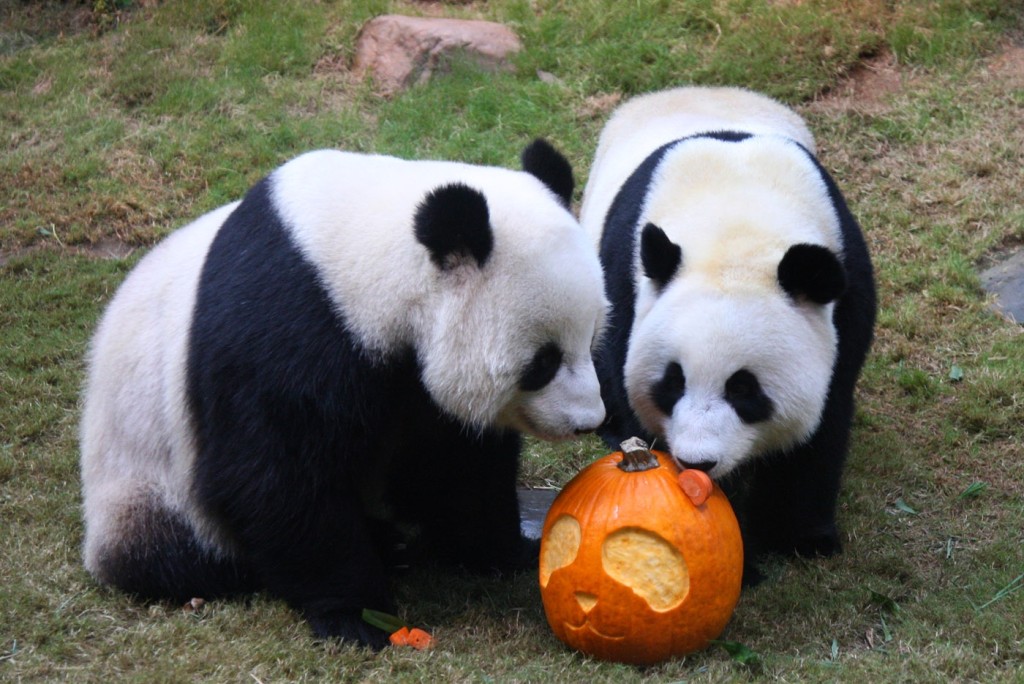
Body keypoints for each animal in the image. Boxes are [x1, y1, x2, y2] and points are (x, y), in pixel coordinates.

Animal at [81, 140, 606, 647]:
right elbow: (277, 474)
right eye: (543, 362)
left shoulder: (412, 382)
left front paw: (508, 551)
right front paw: (357, 616)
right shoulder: (290, 327)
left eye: (593, 336)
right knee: (174, 551)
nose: (588, 420)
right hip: (145, 480)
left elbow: (456, 461)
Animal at [581, 87, 876, 581]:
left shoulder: (846, 301)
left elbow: (821, 427)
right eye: (673, 382)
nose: (697, 460)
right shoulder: (629, 292)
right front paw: (741, 562)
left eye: (744, 389)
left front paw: (802, 539)